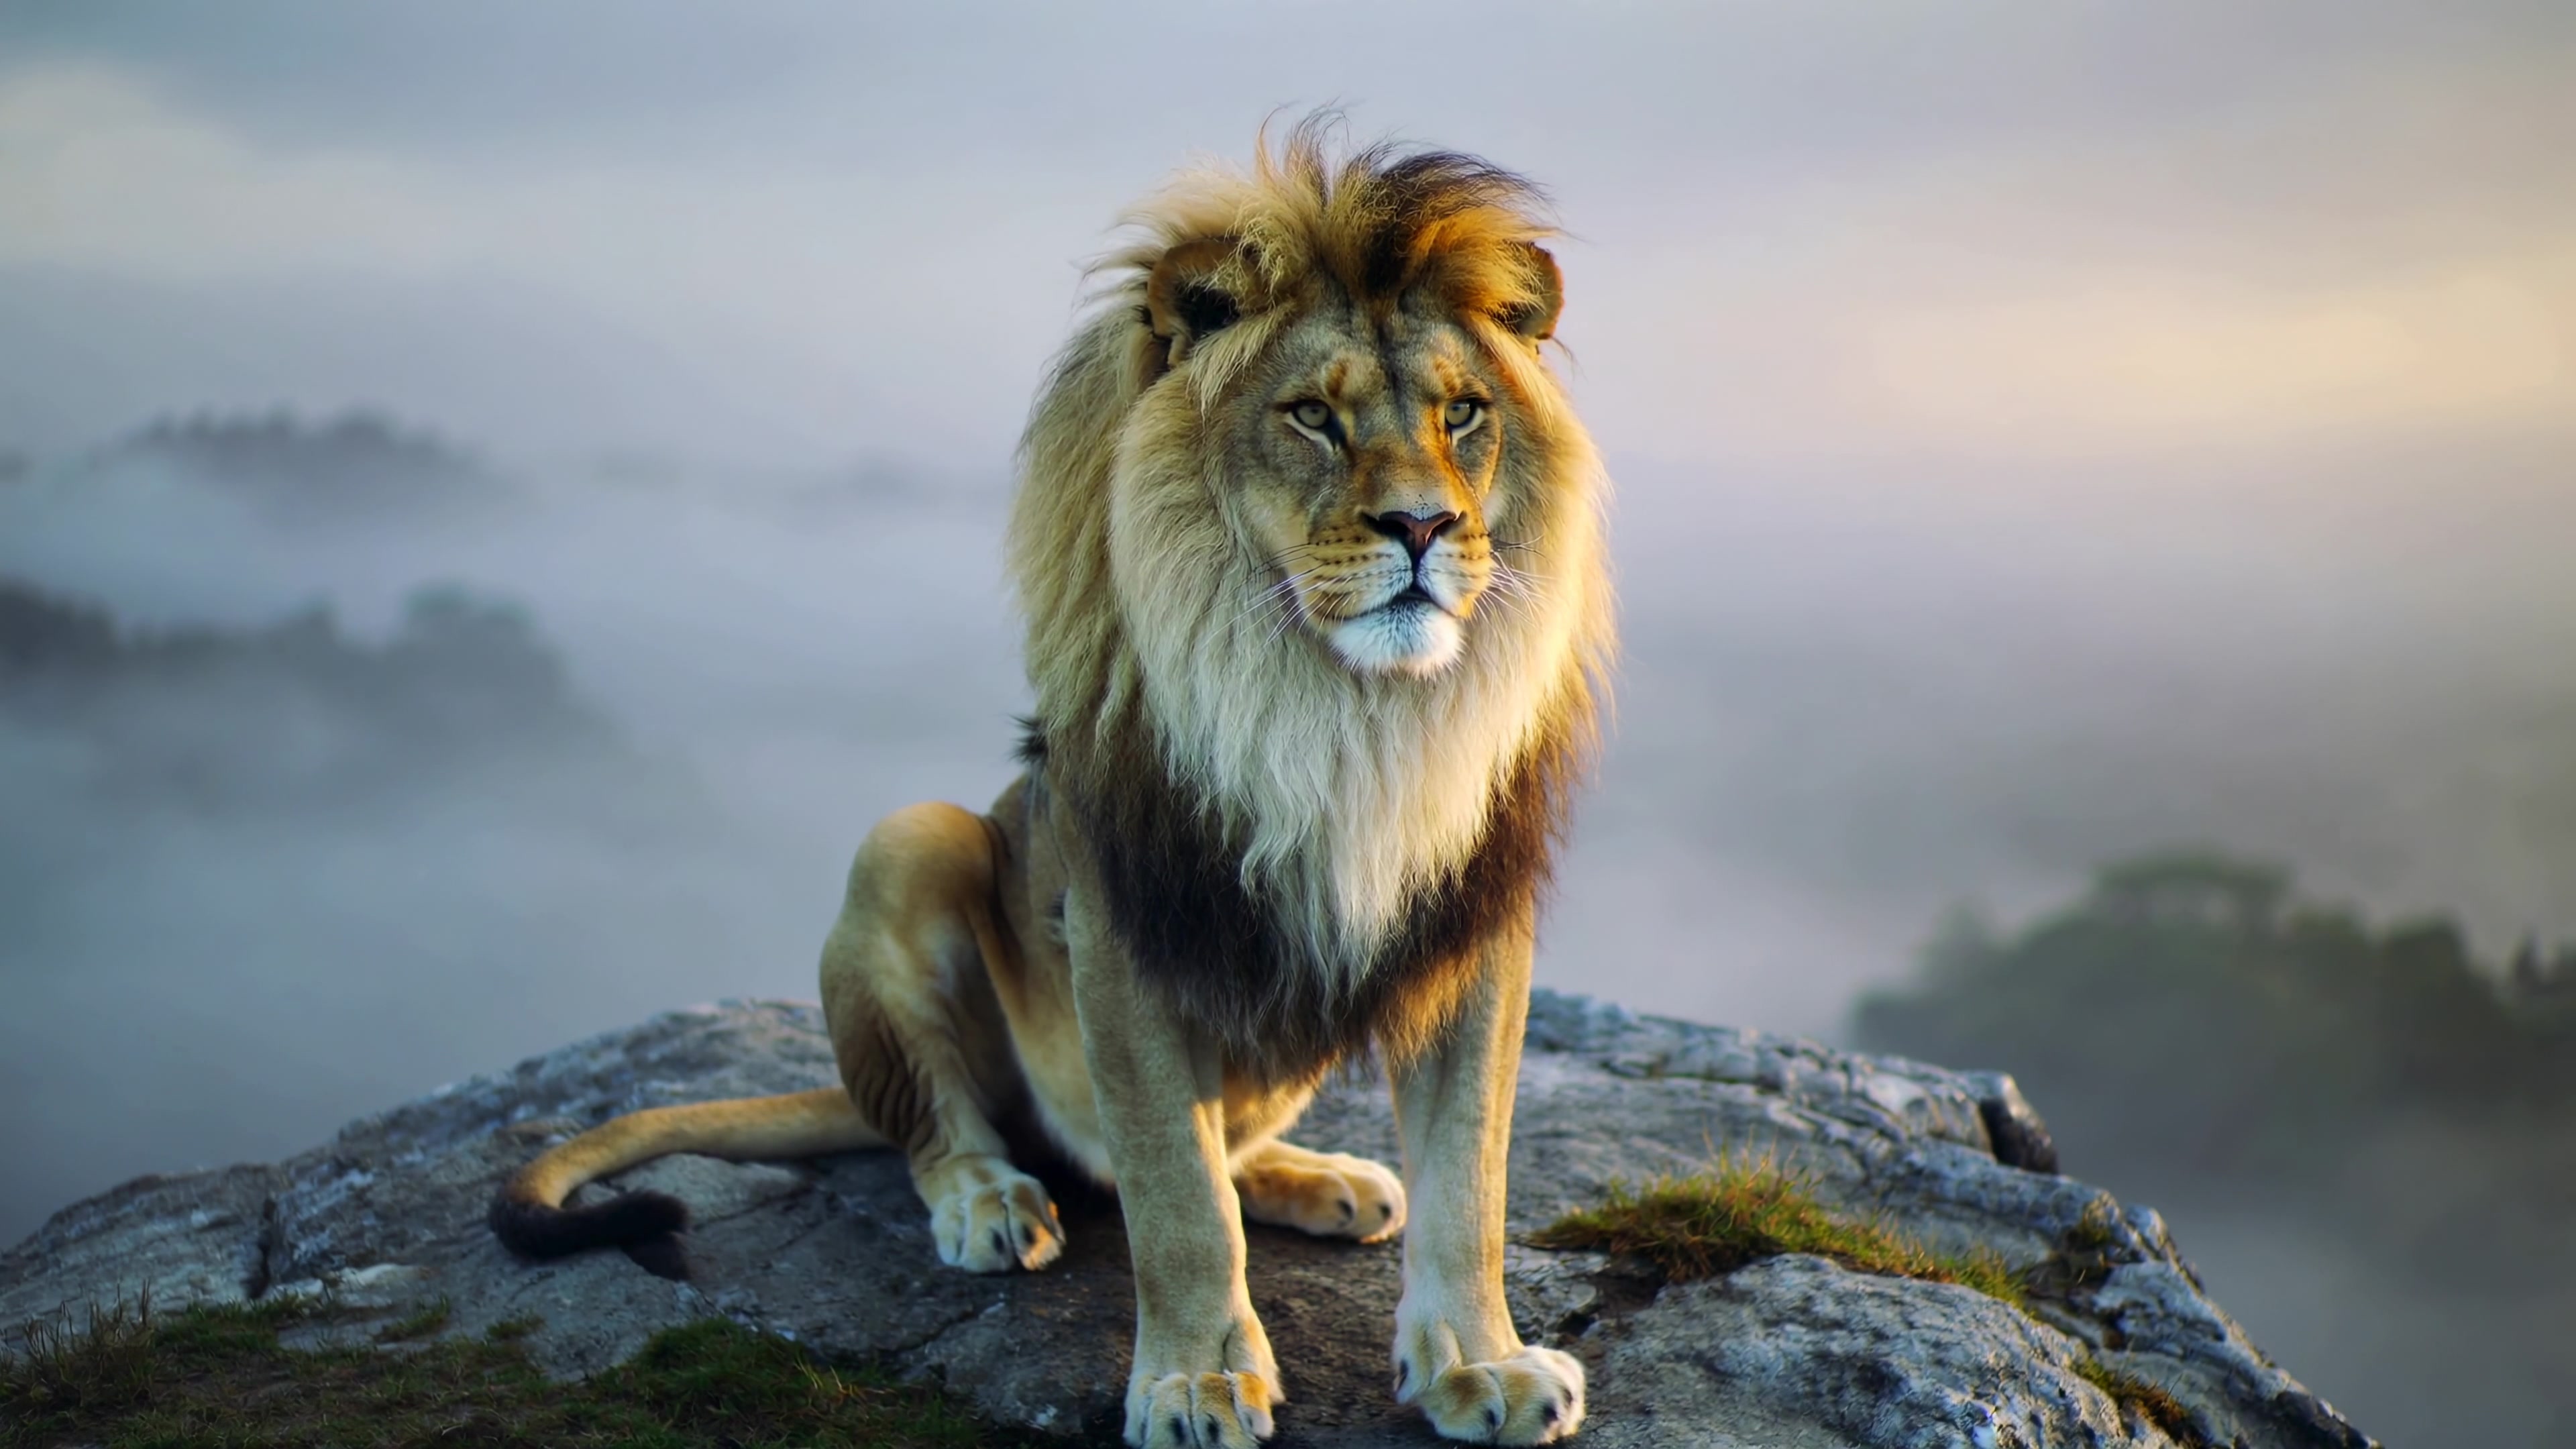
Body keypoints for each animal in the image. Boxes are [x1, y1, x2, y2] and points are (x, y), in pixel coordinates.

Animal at [489, 120, 1614, 1448]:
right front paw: (1195, 1381)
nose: (1426, 529)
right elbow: (1175, 1196)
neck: (1341, 708)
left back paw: (1325, 1180)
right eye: (1311, 419)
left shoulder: (1474, 927)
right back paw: (990, 1200)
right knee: (958, 1125)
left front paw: (1481, 1367)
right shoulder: (1123, 928)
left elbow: (1470, 1178)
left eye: (1464, 413)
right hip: (910, 841)